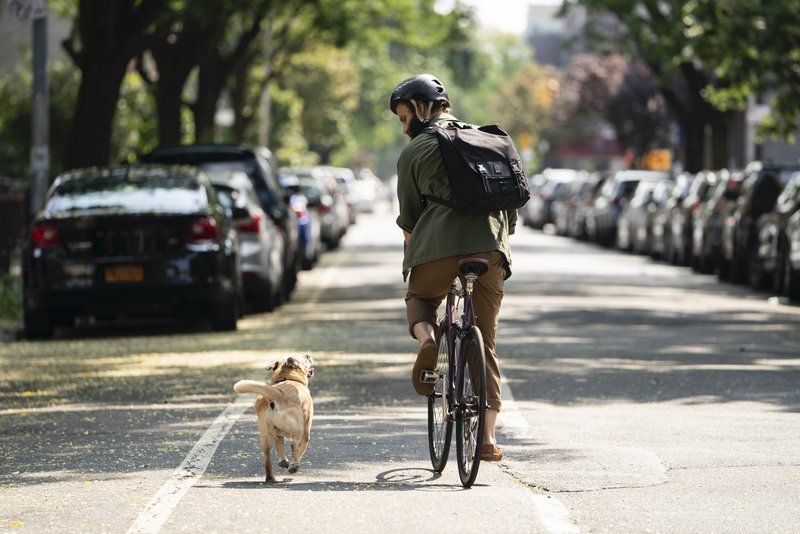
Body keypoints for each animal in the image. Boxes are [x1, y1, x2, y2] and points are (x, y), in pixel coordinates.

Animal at [233, 356, 314, 486]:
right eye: (305, 359)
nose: (308, 355)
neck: (289, 378)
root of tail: (277, 394)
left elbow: (281, 446)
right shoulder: (306, 432)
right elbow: (301, 449)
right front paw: (294, 463)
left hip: (266, 434)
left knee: (268, 455)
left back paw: (272, 475)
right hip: (298, 430)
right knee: (293, 446)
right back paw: (294, 465)